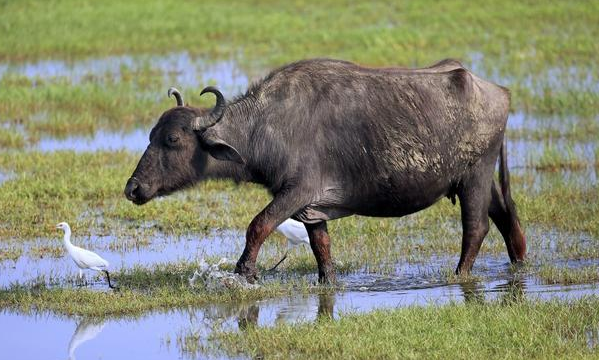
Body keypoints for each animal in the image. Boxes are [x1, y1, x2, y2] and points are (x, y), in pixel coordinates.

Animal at [125, 58, 524, 284]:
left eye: (173, 139)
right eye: (151, 135)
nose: (133, 188)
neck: (267, 127)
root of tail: (498, 92)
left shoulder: (296, 192)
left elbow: (258, 224)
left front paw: (244, 273)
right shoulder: (313, 208)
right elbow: (322, 248)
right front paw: (326, 281)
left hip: (475, 175)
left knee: (476, 227)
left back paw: (460, 275)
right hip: (480, 179)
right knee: (506, 216)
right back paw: (519, 263)